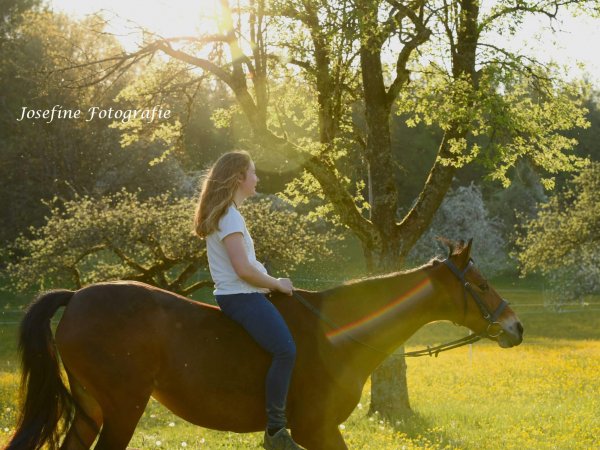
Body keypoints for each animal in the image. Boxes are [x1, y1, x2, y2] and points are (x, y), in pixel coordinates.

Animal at [5, 237, 520, 448]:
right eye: (482, 284)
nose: (514, 327)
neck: (337, 335)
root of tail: (77, 297)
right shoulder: (317, 431)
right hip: (122, 410)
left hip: (92, 410)